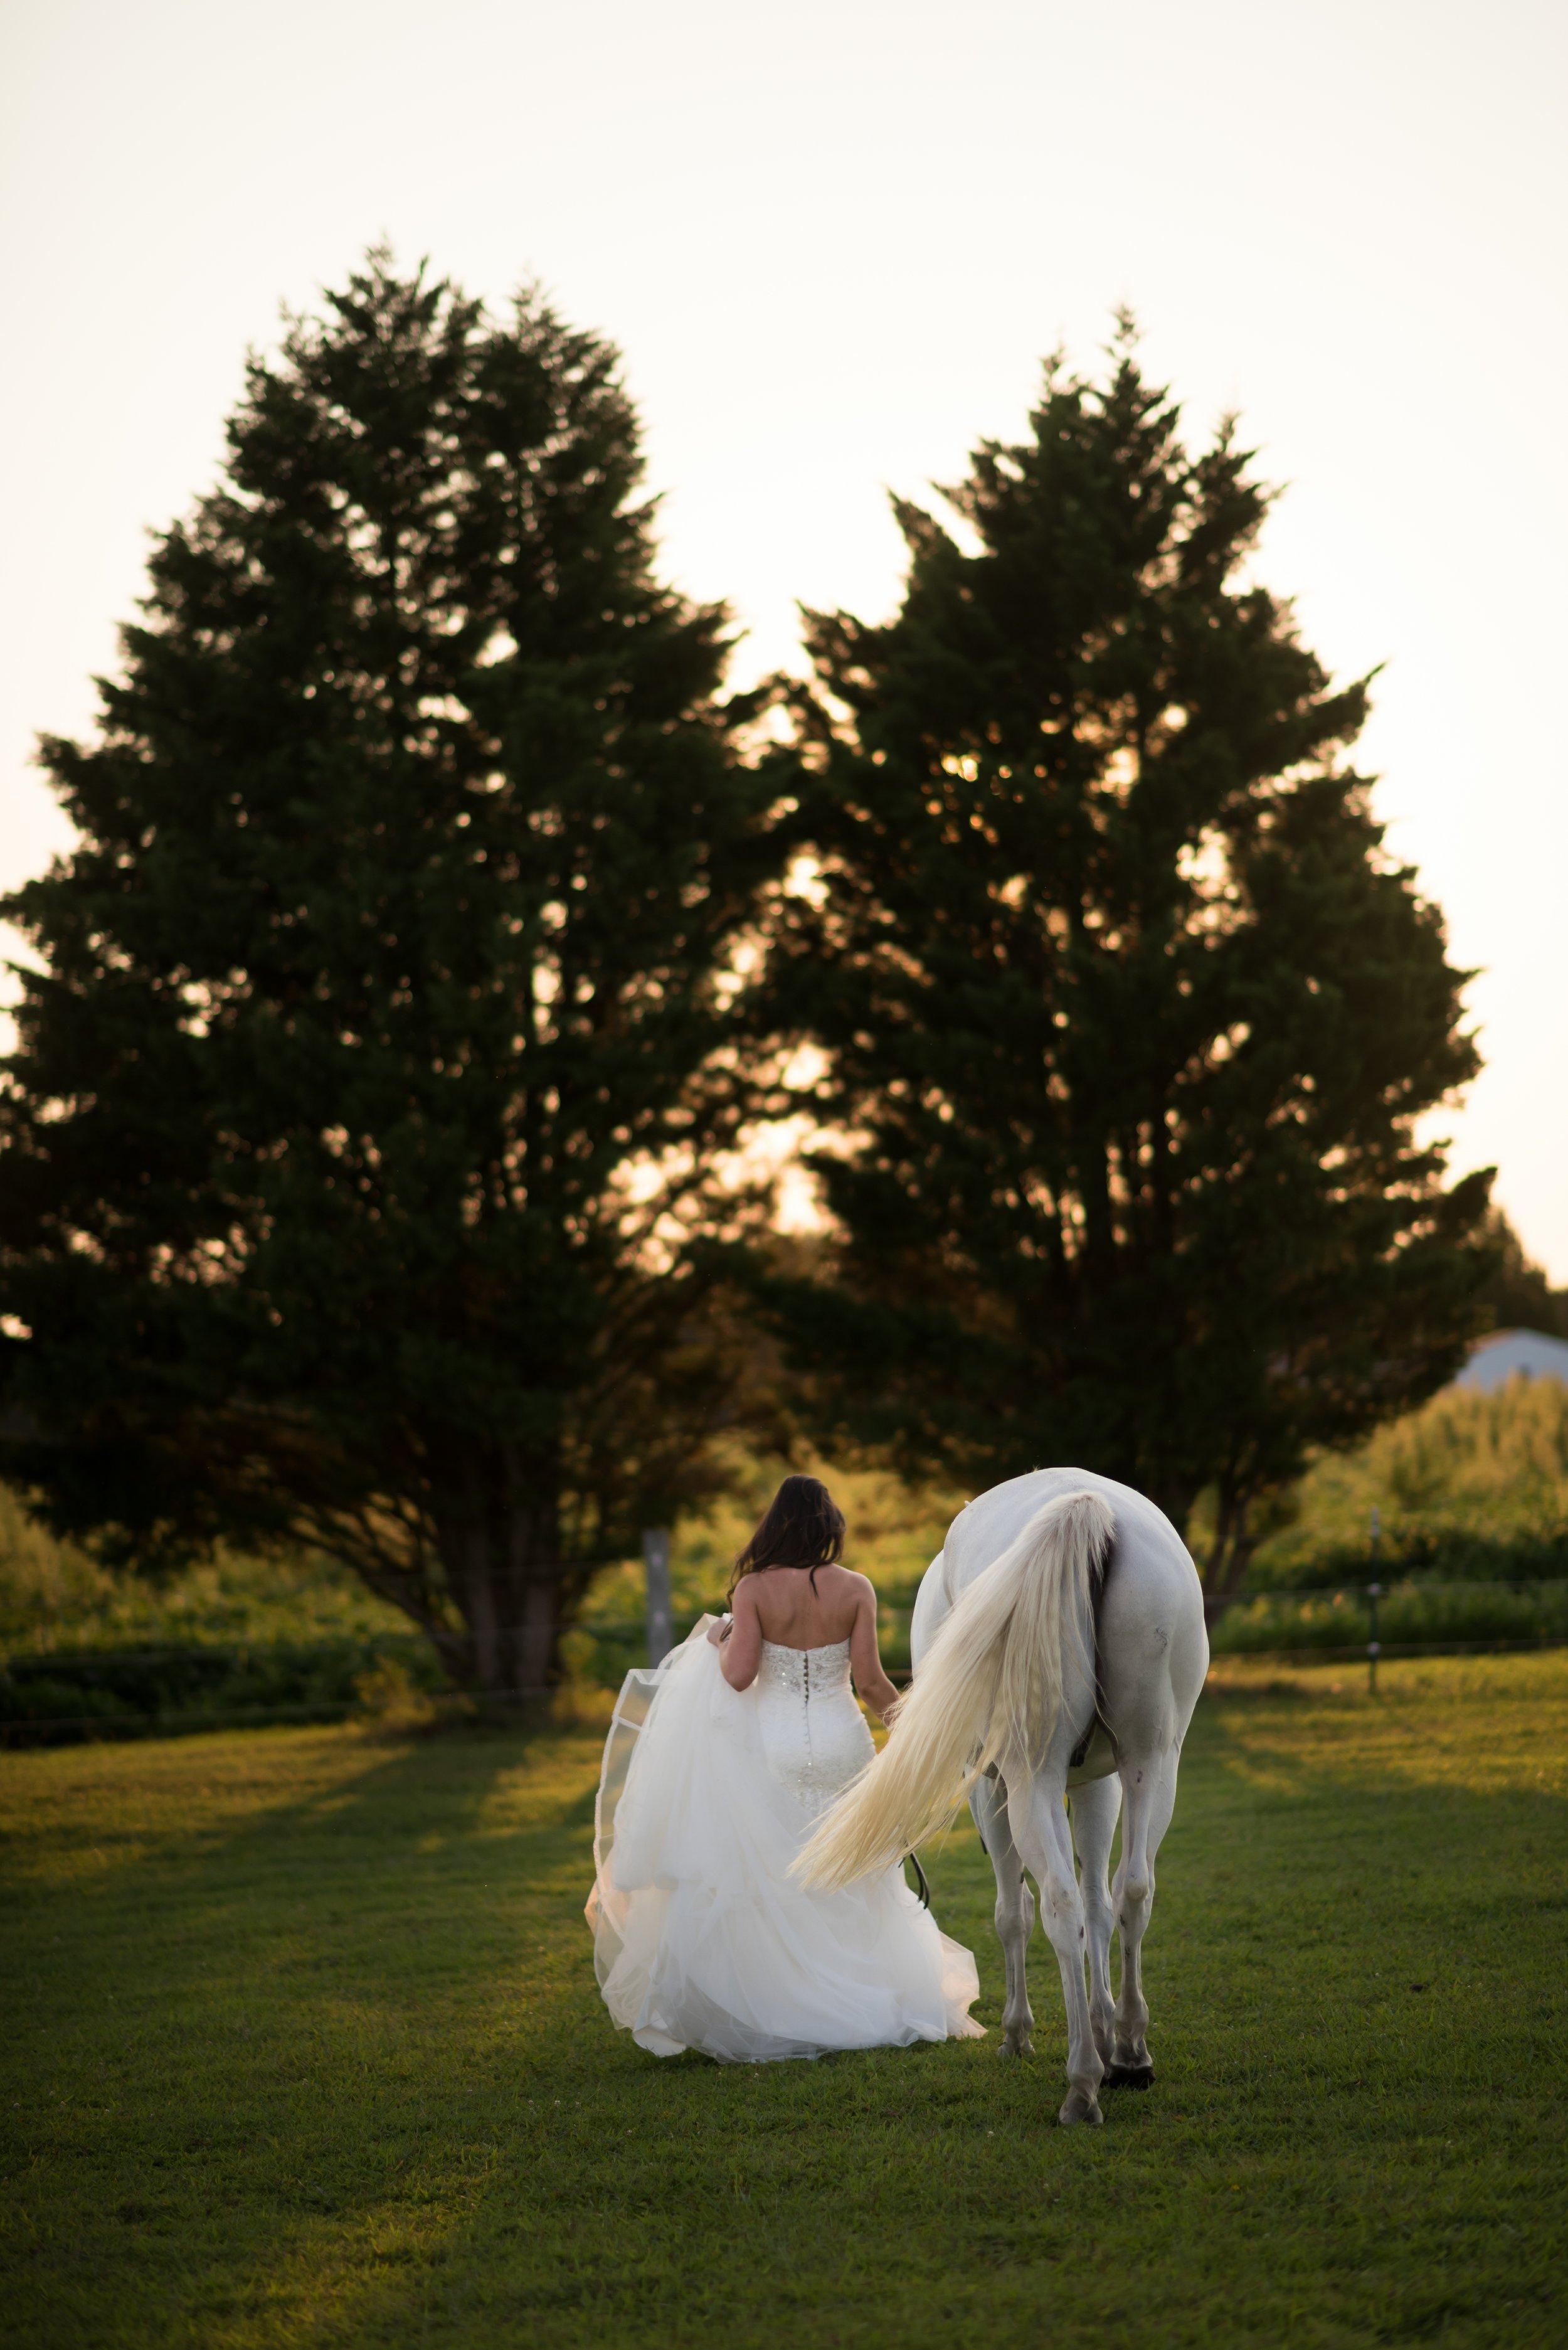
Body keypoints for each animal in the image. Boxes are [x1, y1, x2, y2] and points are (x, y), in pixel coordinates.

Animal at [799, 1466, 1213, 2134]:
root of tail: (1087, 1507)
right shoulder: (1099, 1782)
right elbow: (1101, 1903)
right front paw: (1104, 2030)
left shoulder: (989, 1789)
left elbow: (1012, 1911)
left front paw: (1021, 2034)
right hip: (1153, 1762)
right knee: (1131, 1890)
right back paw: (1129, 2052)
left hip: (1027, 1780)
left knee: (1057, 1905)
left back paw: (1082, 2086)